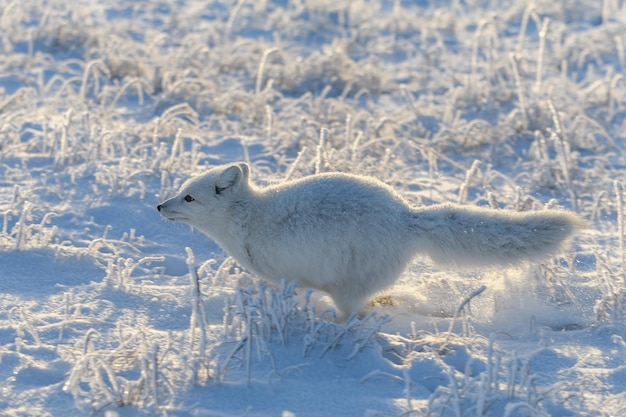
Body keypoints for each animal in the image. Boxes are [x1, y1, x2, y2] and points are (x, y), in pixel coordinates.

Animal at [156, 162, 580, 316]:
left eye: (189, 198)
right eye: (181, 191)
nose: (159, 206)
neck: (249, 219)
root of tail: (405, 217)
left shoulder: (286, 275)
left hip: (348, 287)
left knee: (352, 315)